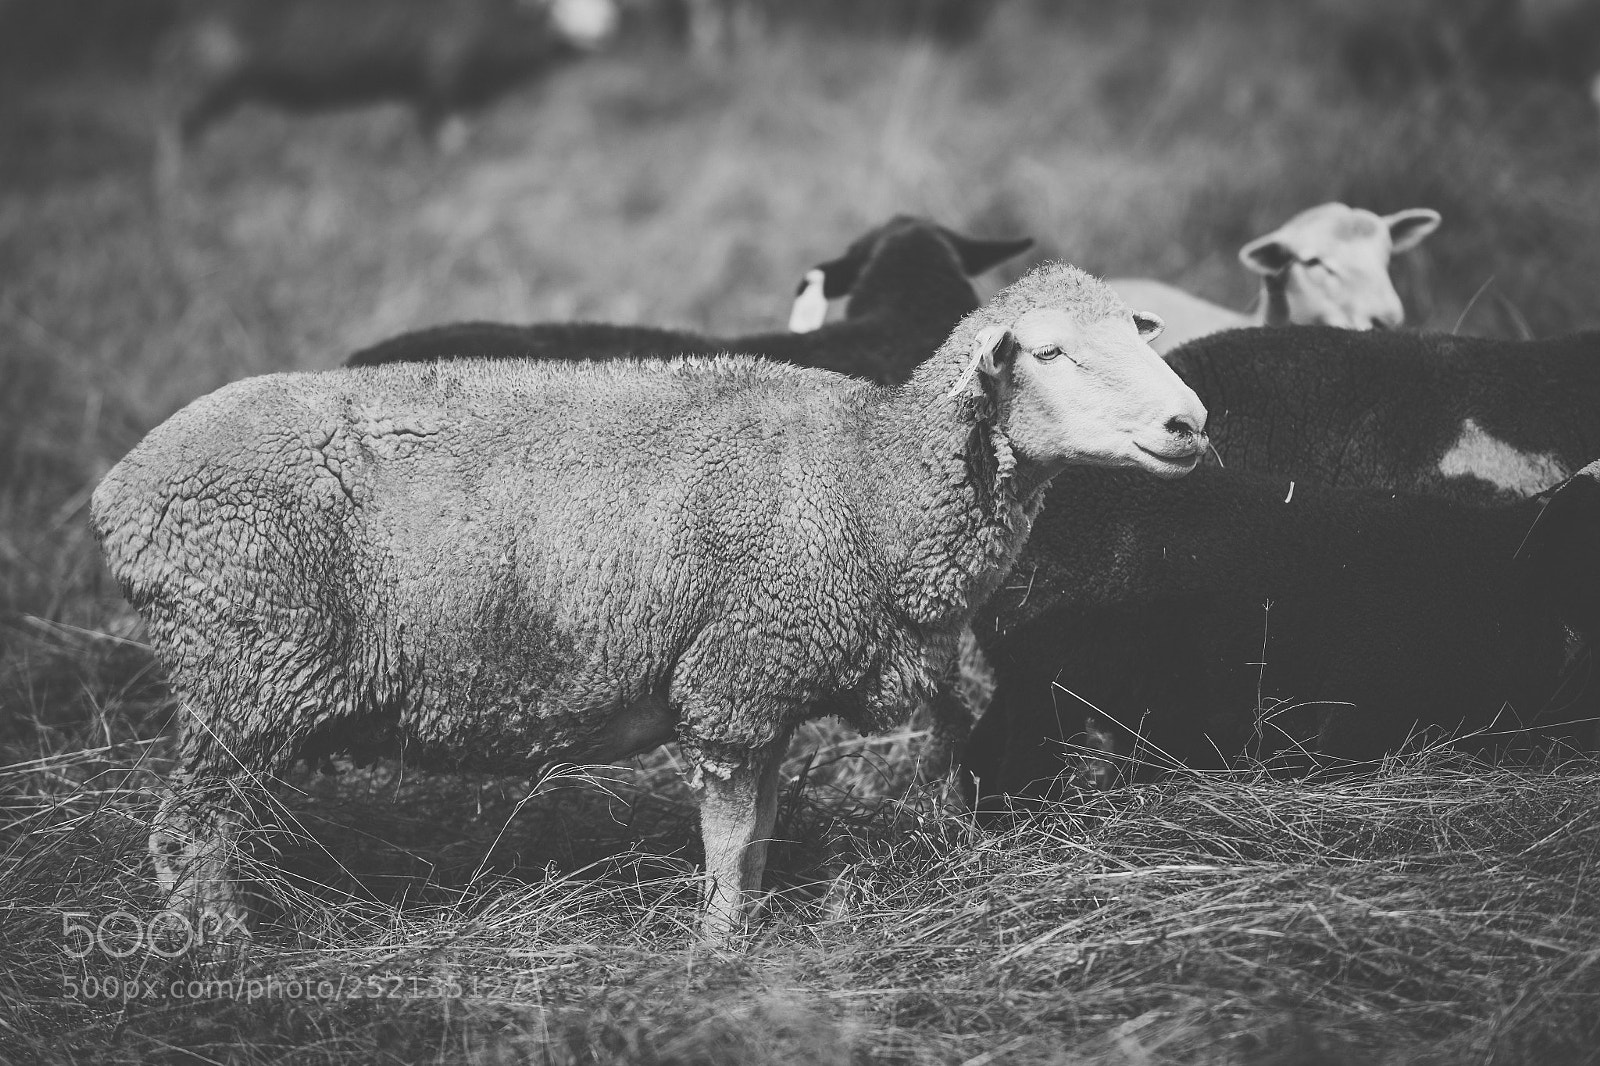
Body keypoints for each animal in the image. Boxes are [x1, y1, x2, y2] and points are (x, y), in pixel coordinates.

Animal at [91, 262, 1208, 941]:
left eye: (1137, 333)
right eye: (1048, 352)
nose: (1190, 422)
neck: (868, 478)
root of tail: (123, 493)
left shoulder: (763, 690)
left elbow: (757, 833)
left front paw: (742, 932)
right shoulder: (735, 673)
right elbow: (727, 837)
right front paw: (717, 953)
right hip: (246, 667)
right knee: (185, 838)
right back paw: (222, 948)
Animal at [170, 0, 618, 147]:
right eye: (572, 5)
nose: (612, 23)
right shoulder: (445, 56)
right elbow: (438, 104)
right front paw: (454, 140)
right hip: (209, 68)